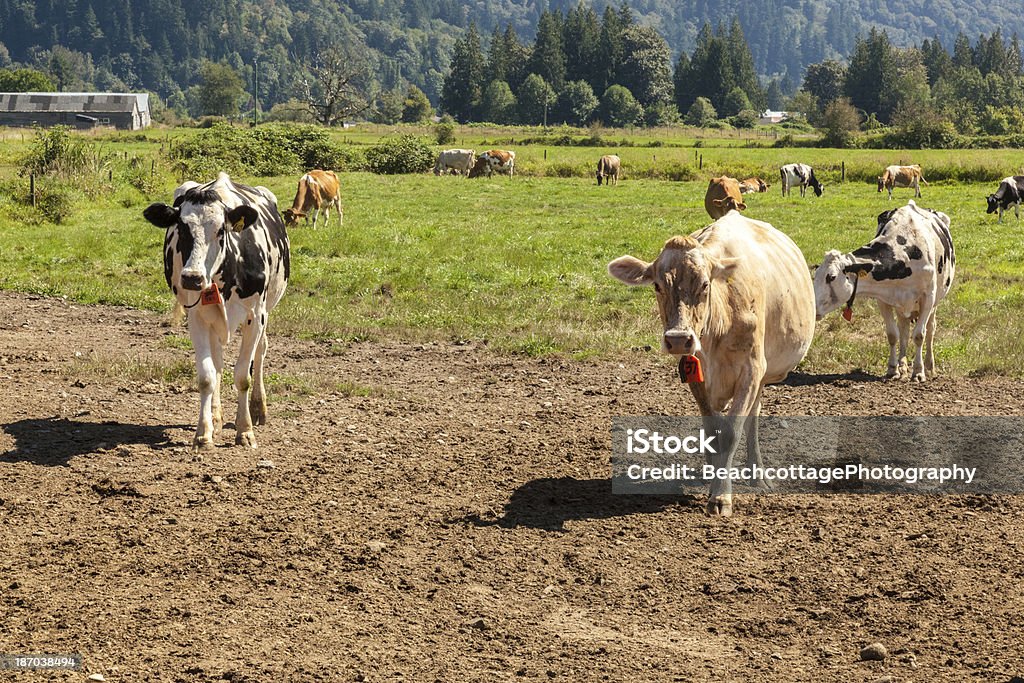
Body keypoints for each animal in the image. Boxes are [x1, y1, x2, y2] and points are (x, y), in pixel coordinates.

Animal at [142, 171, 290, 450]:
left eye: (221, 230)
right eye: (181, 227)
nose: (192, 278)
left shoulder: (256, 315)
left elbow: (243, 375)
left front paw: (245, 431)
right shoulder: (197, 317)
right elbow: (207, 376)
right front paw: (204, 433)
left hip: (267, 310)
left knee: (261, 353)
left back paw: (258, 408)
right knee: (219, 361)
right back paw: (217, 416)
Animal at [606, 210, 815, 516]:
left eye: (705, 284)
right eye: (657, 285)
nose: (678, 339)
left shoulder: (751, 371)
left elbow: (731, 432)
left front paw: (721, 496)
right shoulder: (695, 372)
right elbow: (713, 432)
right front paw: (714, 476)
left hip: (762, 376)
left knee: (753, 416)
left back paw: (757, 474)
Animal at [811, 200, 954, 385]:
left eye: (831, 277)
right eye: (815, 276)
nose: (811, 307)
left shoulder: (928, 298)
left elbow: (919, 335)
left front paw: (918, 372)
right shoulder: (884, 298)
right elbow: (893, 334)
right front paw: (893, 369)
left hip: (935, 302)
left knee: (930, 329)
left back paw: (929, 366)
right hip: (902, 305)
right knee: (904, 329)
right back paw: (903, 365)